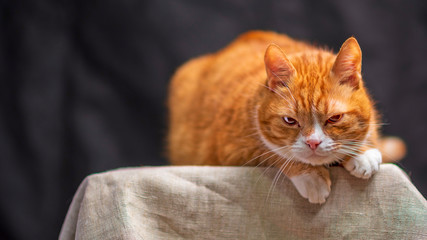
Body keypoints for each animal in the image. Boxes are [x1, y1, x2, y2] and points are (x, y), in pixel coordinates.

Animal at [166, 31, 404, 204]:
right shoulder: (231, 152)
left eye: (335, 118)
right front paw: (311, 177)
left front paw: (363, 152)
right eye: (290, 121)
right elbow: (274, 152)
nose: (313, 143)